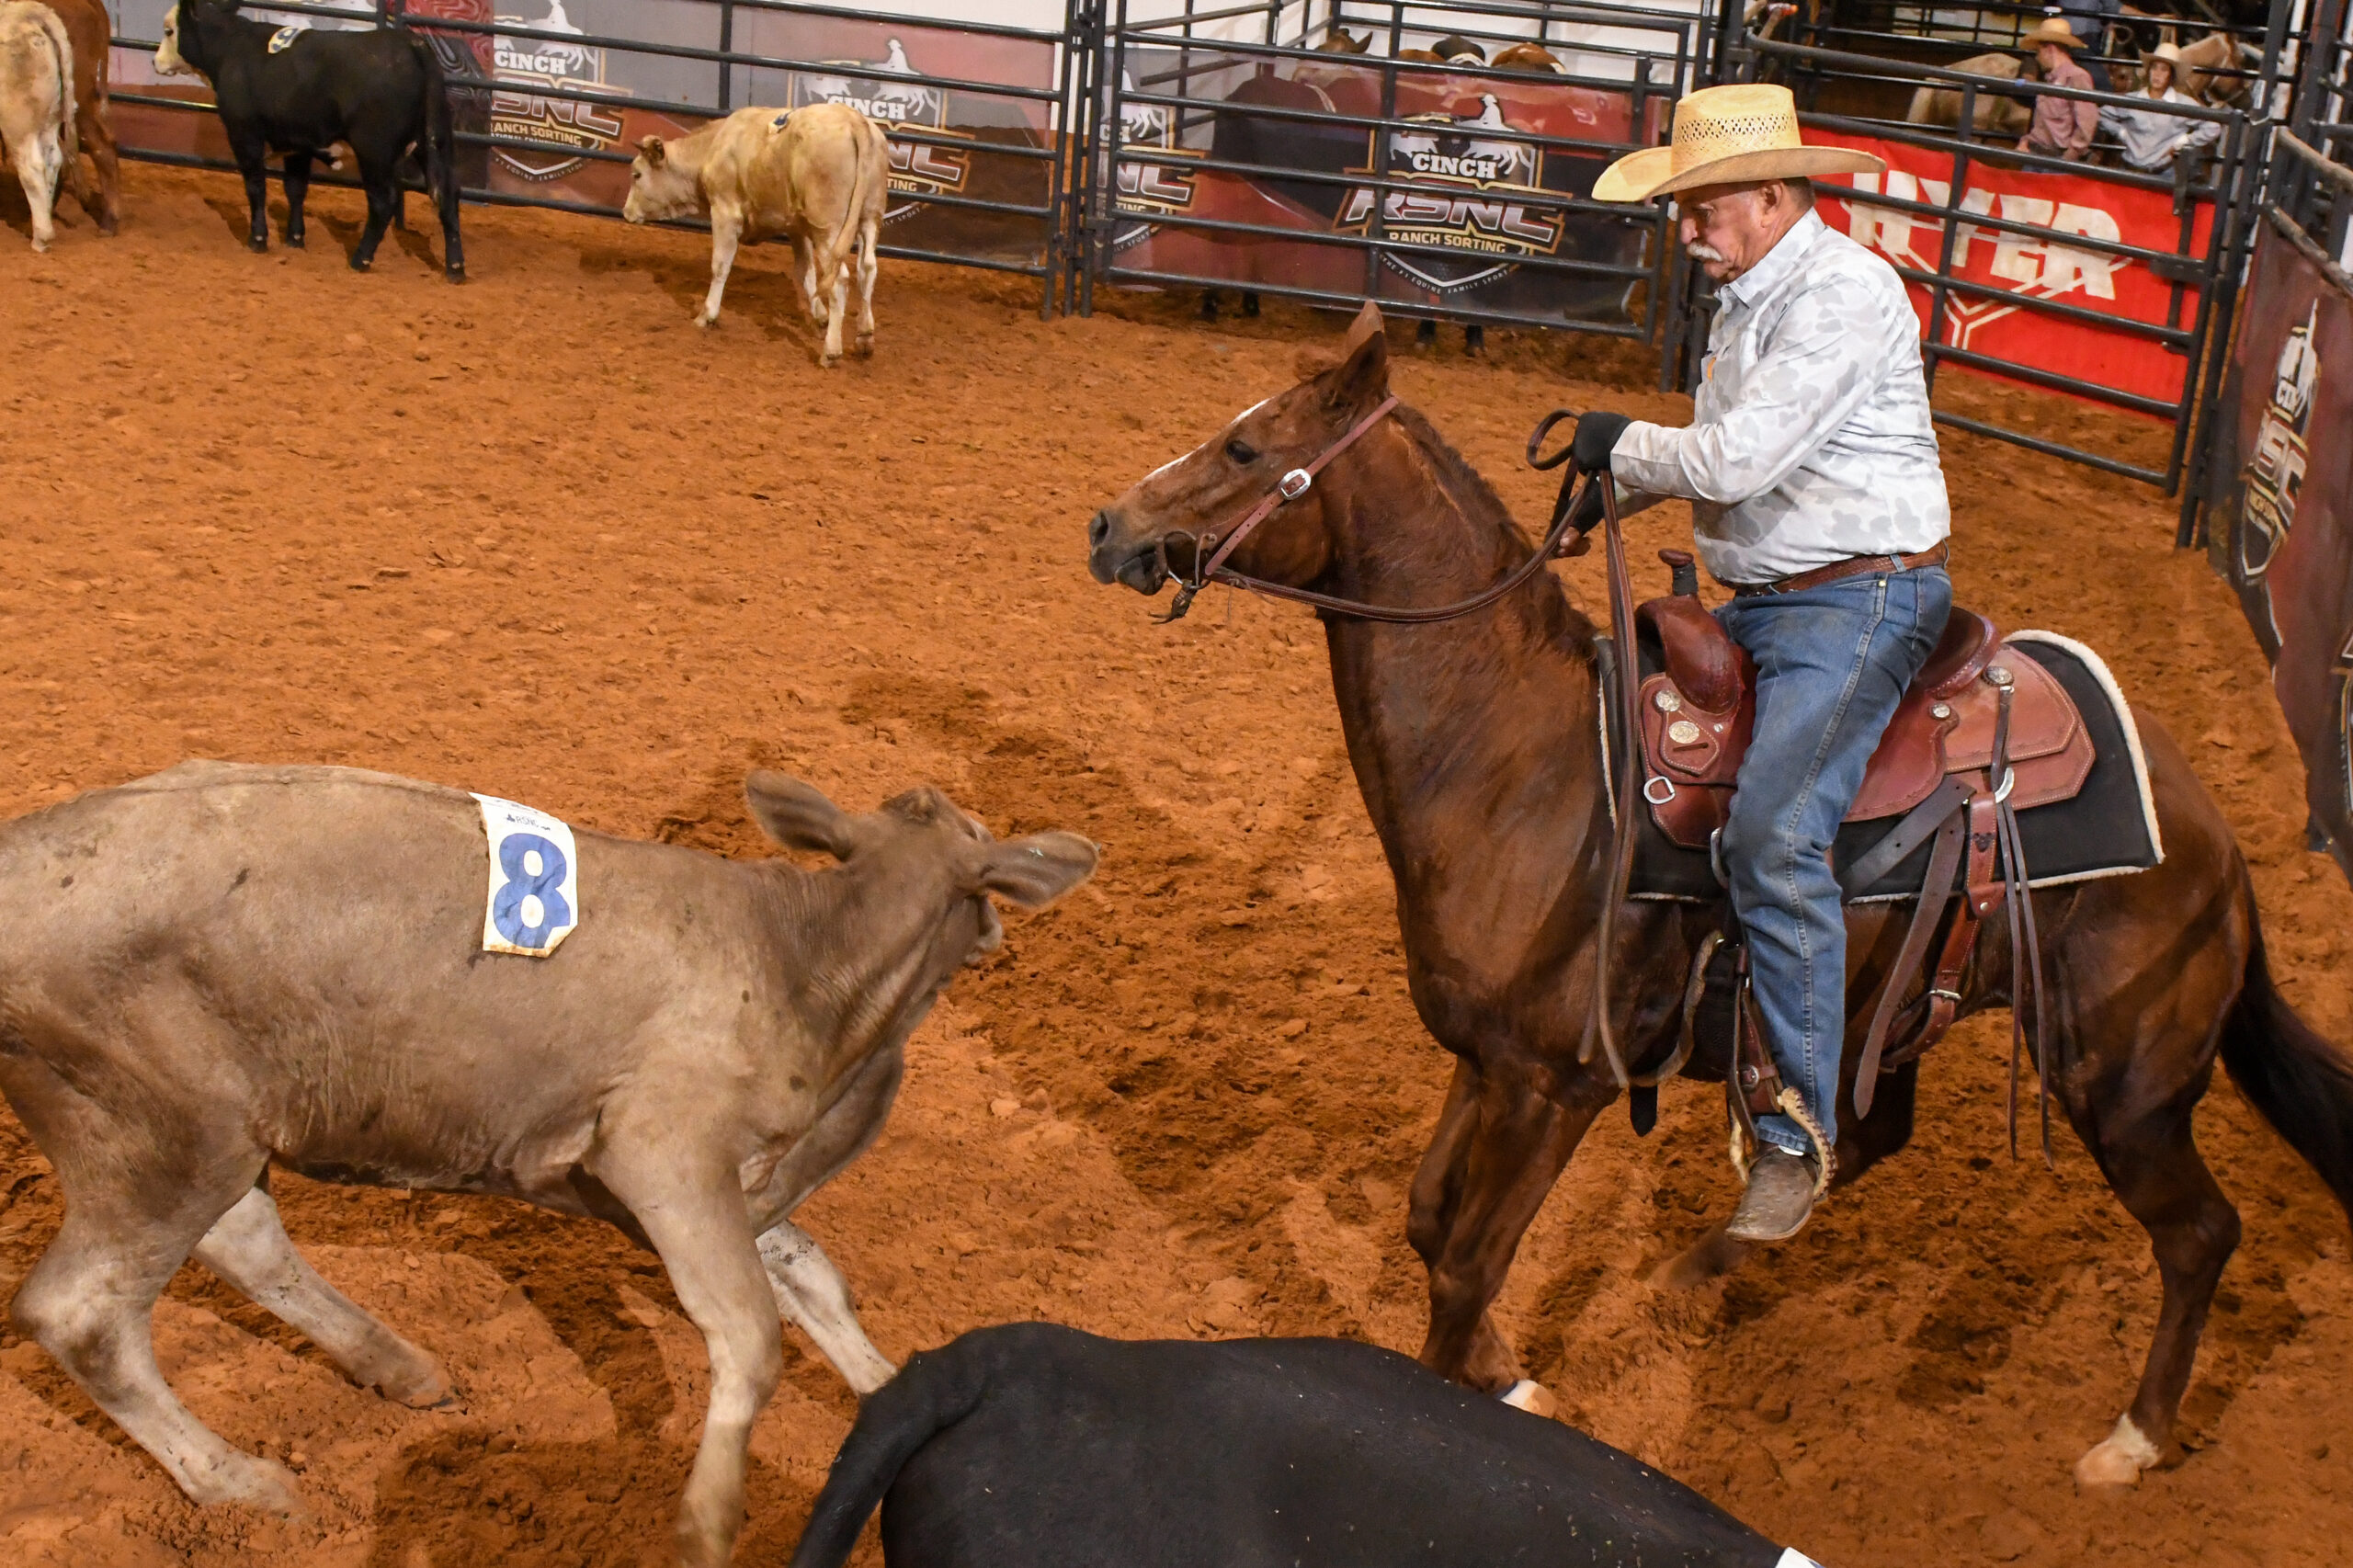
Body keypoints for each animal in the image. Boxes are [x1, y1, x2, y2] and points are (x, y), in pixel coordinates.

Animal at [1082, 303, 2353, 1490]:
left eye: (1247, 447)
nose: (1110, 526)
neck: (1525, 764)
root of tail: (2213, 835)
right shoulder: (1485, 1058)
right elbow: (1430, 1219)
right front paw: (1511, 1372)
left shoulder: (1559, 1083)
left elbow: (1466, 1264)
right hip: (1896, 1010)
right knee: (1863, 1134)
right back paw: (1685, 1273)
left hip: (2121, 1085)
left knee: (2200, 1233)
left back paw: (2129, 1441)